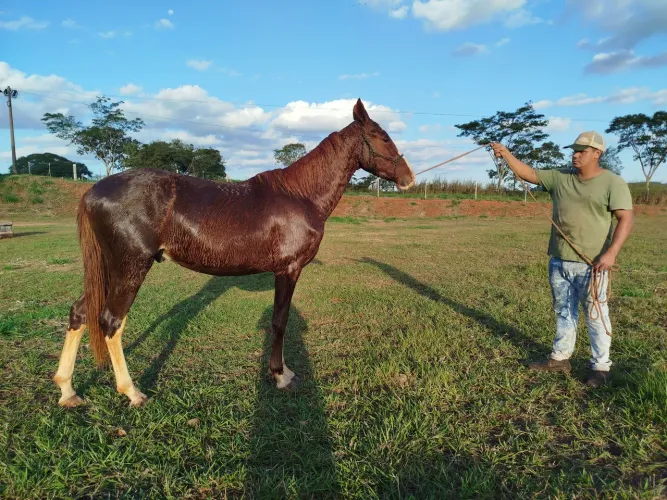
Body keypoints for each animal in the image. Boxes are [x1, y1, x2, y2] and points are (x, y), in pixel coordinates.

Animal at [53, 98, 415, 408]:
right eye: (382, 137)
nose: (409, 178)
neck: (300, 195)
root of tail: (93, 192)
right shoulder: (288, 270)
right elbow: (280, 321)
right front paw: (280, 375)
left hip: (108, 269)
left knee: (80, 313)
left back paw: (68, 391)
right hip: (129, 267)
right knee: (111, 322)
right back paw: (132, 391)